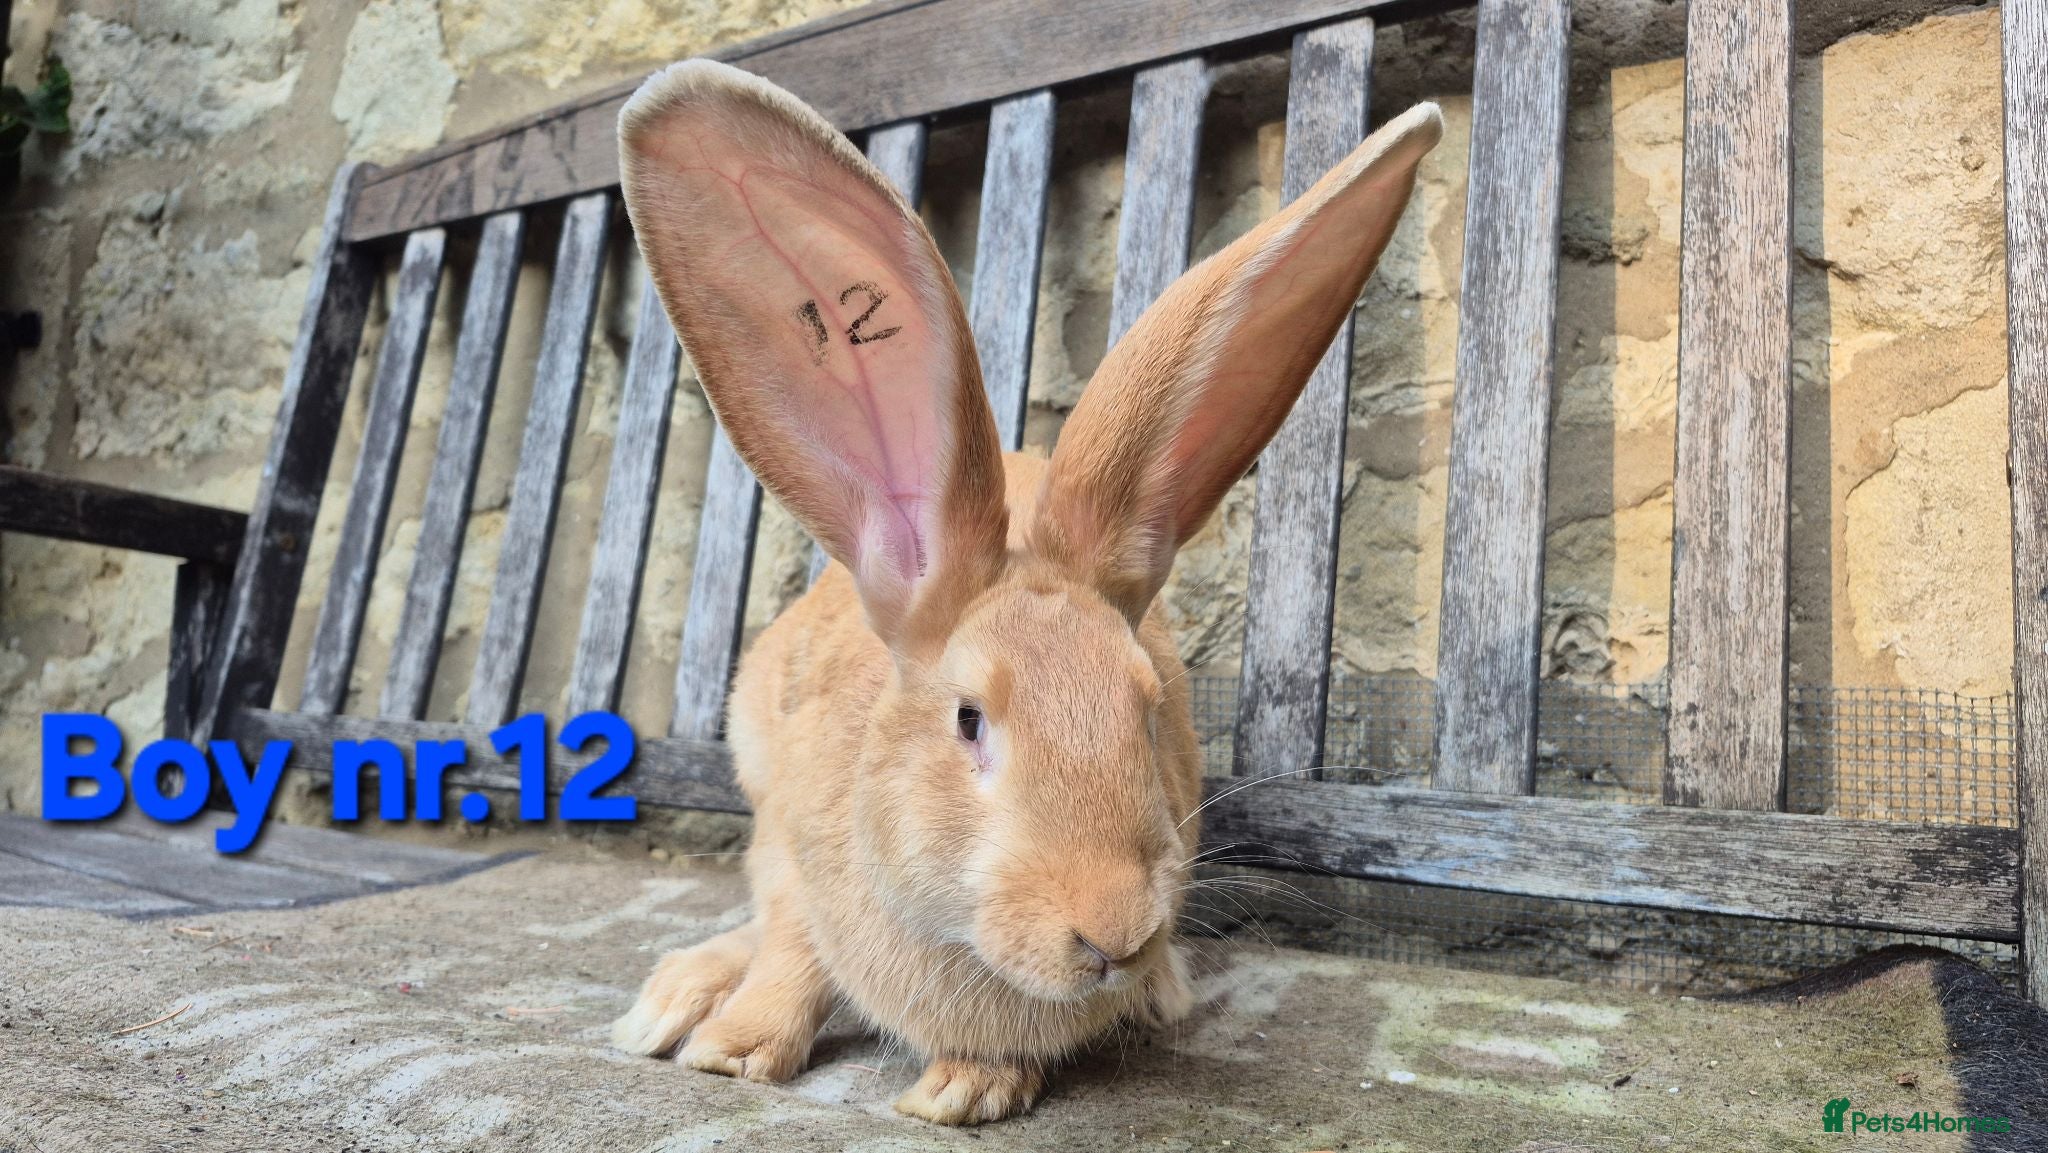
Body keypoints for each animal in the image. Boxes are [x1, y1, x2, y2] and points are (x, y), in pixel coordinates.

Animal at [608, 57, 1441, 1125]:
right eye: (968, 720)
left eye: (1151, 712)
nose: (1114, 933)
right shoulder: (794, 852)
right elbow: (793, 944)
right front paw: (734, 1051)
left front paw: (966, 1087)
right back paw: (677, 996)